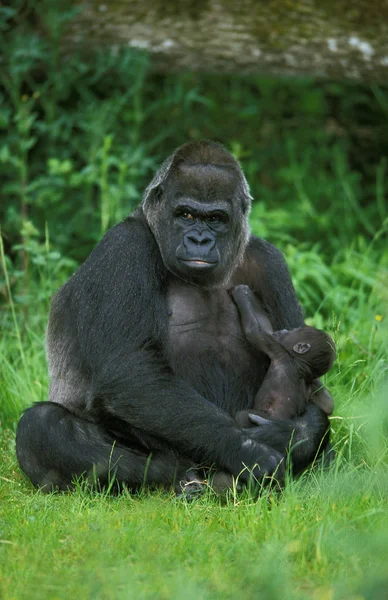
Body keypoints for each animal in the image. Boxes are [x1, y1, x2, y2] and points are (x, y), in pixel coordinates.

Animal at [15, 139, 334, 492]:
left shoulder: (269, 260)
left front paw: (286, 433)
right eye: (186, 214)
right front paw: (247, 450)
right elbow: (131, 372)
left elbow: (314, 388)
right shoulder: (123, 247)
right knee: (42, 425)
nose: (199, 240)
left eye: (216, 219)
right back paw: (175, 473)